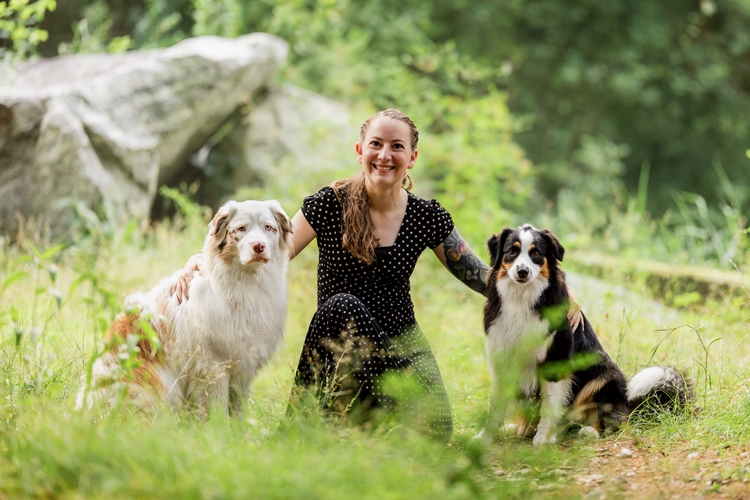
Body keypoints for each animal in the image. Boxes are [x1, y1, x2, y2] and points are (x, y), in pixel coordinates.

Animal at [76, 199, 293, 416]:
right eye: (241, 228)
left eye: (268, 228)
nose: (259, 246)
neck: (244, 283)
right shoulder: (213, 368)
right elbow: (219, 411)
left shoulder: (242, 370)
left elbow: (238, 410)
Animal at [474, 224, 692, 446]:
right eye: (512, 251)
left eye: (535, 254)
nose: (522, 271)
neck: (522, 299)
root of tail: (629, 405)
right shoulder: (503, 360)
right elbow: (495, 406)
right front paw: (485, 437)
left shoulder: (556, 360)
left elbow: (549, 405)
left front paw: (543, 439)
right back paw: (518, 429)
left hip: (604, 376)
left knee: (610, 421)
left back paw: (589, 431)